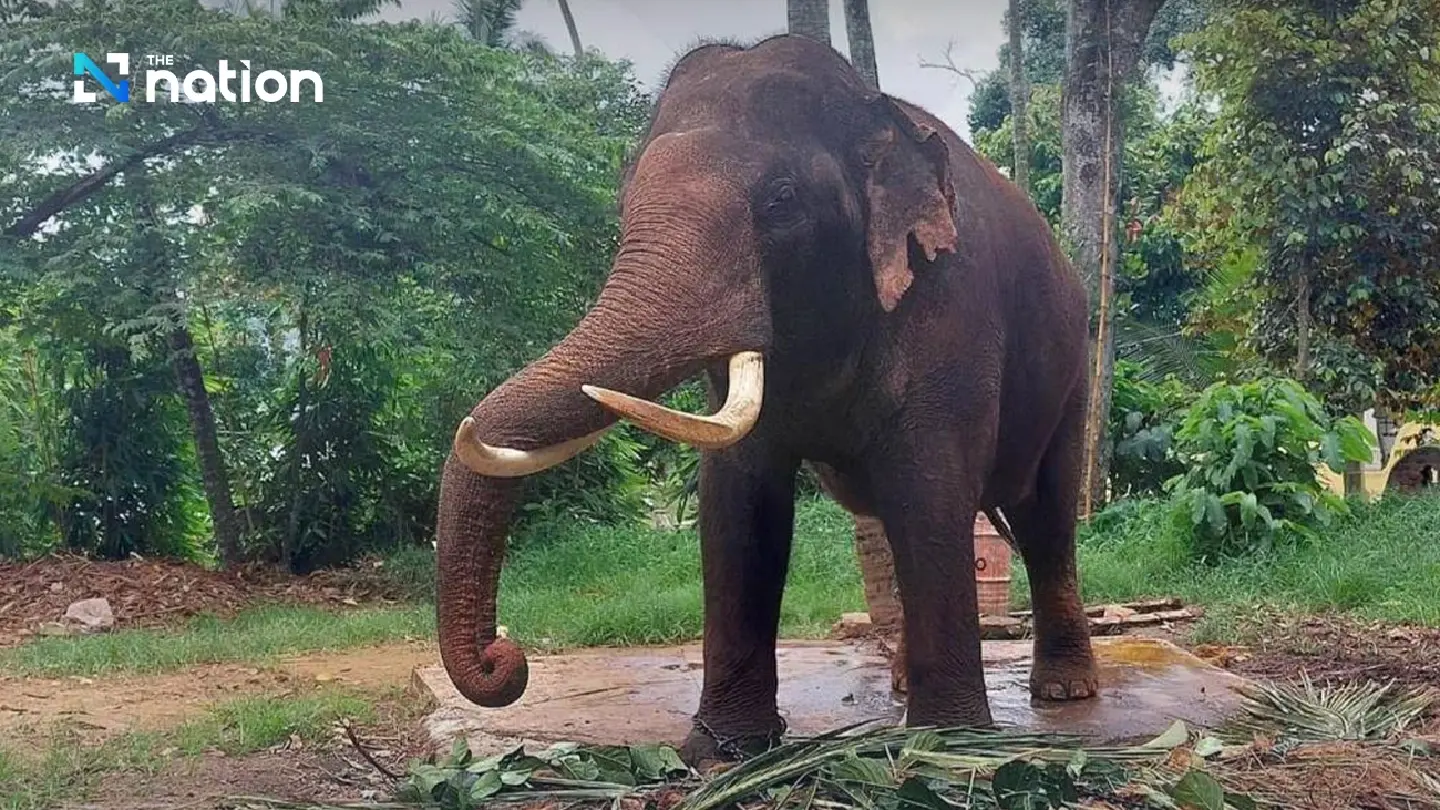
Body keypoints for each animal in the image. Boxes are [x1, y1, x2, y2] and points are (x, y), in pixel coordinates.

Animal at [435, 34, 1098, 765]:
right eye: (624, 203)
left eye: (782, 201)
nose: (504, 658)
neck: (873, 113)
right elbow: (739, 500)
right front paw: (723, 752)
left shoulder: (951, 305)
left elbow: (929, 488)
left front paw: (949, 747)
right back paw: (903, 683)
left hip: (1076, 368)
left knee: (1044, 516)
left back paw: (1064, 691)